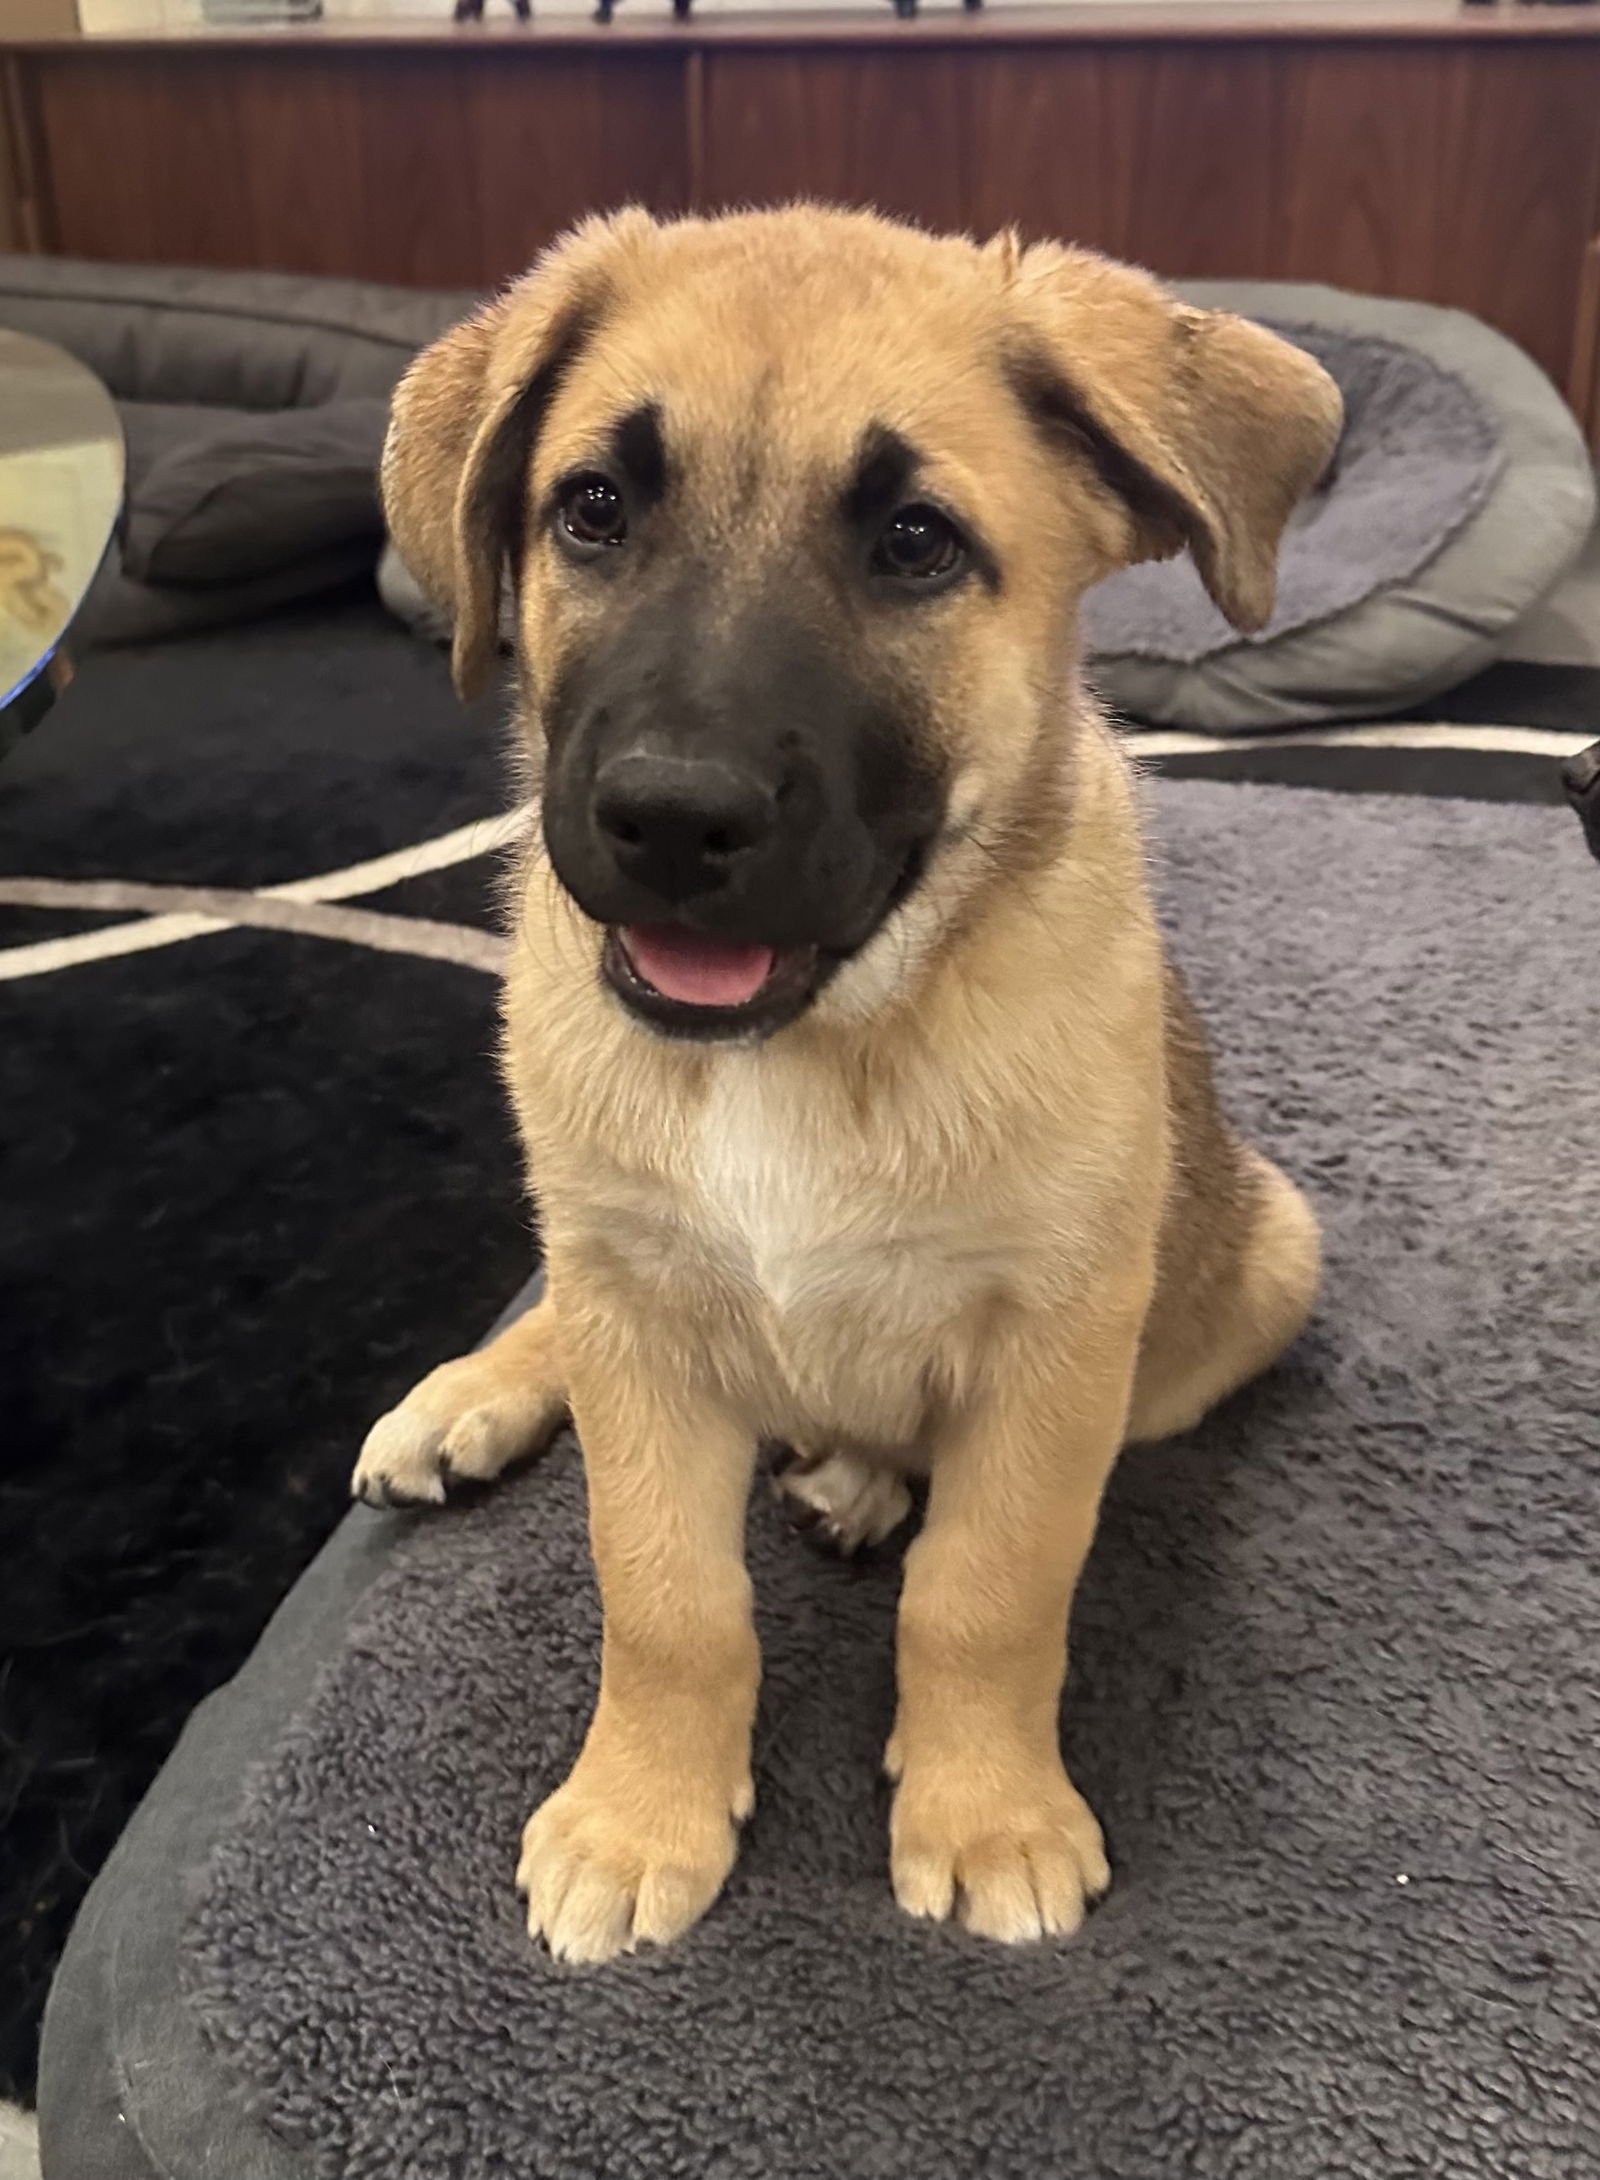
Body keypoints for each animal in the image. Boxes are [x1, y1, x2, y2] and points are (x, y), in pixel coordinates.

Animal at [357, 212, 1351, 1970]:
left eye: (914, 543)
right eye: (592, 509)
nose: (670, 816)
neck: (801, 1053)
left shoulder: (1057, 1345)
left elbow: (987, 1588)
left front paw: (989, 1815)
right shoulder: (636, 1315)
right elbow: (665, 1596)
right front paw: (639, 1816)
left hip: (1266, 1261)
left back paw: (857, 1472)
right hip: (603, 1252)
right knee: (563, 1316)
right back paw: (467, 1398)